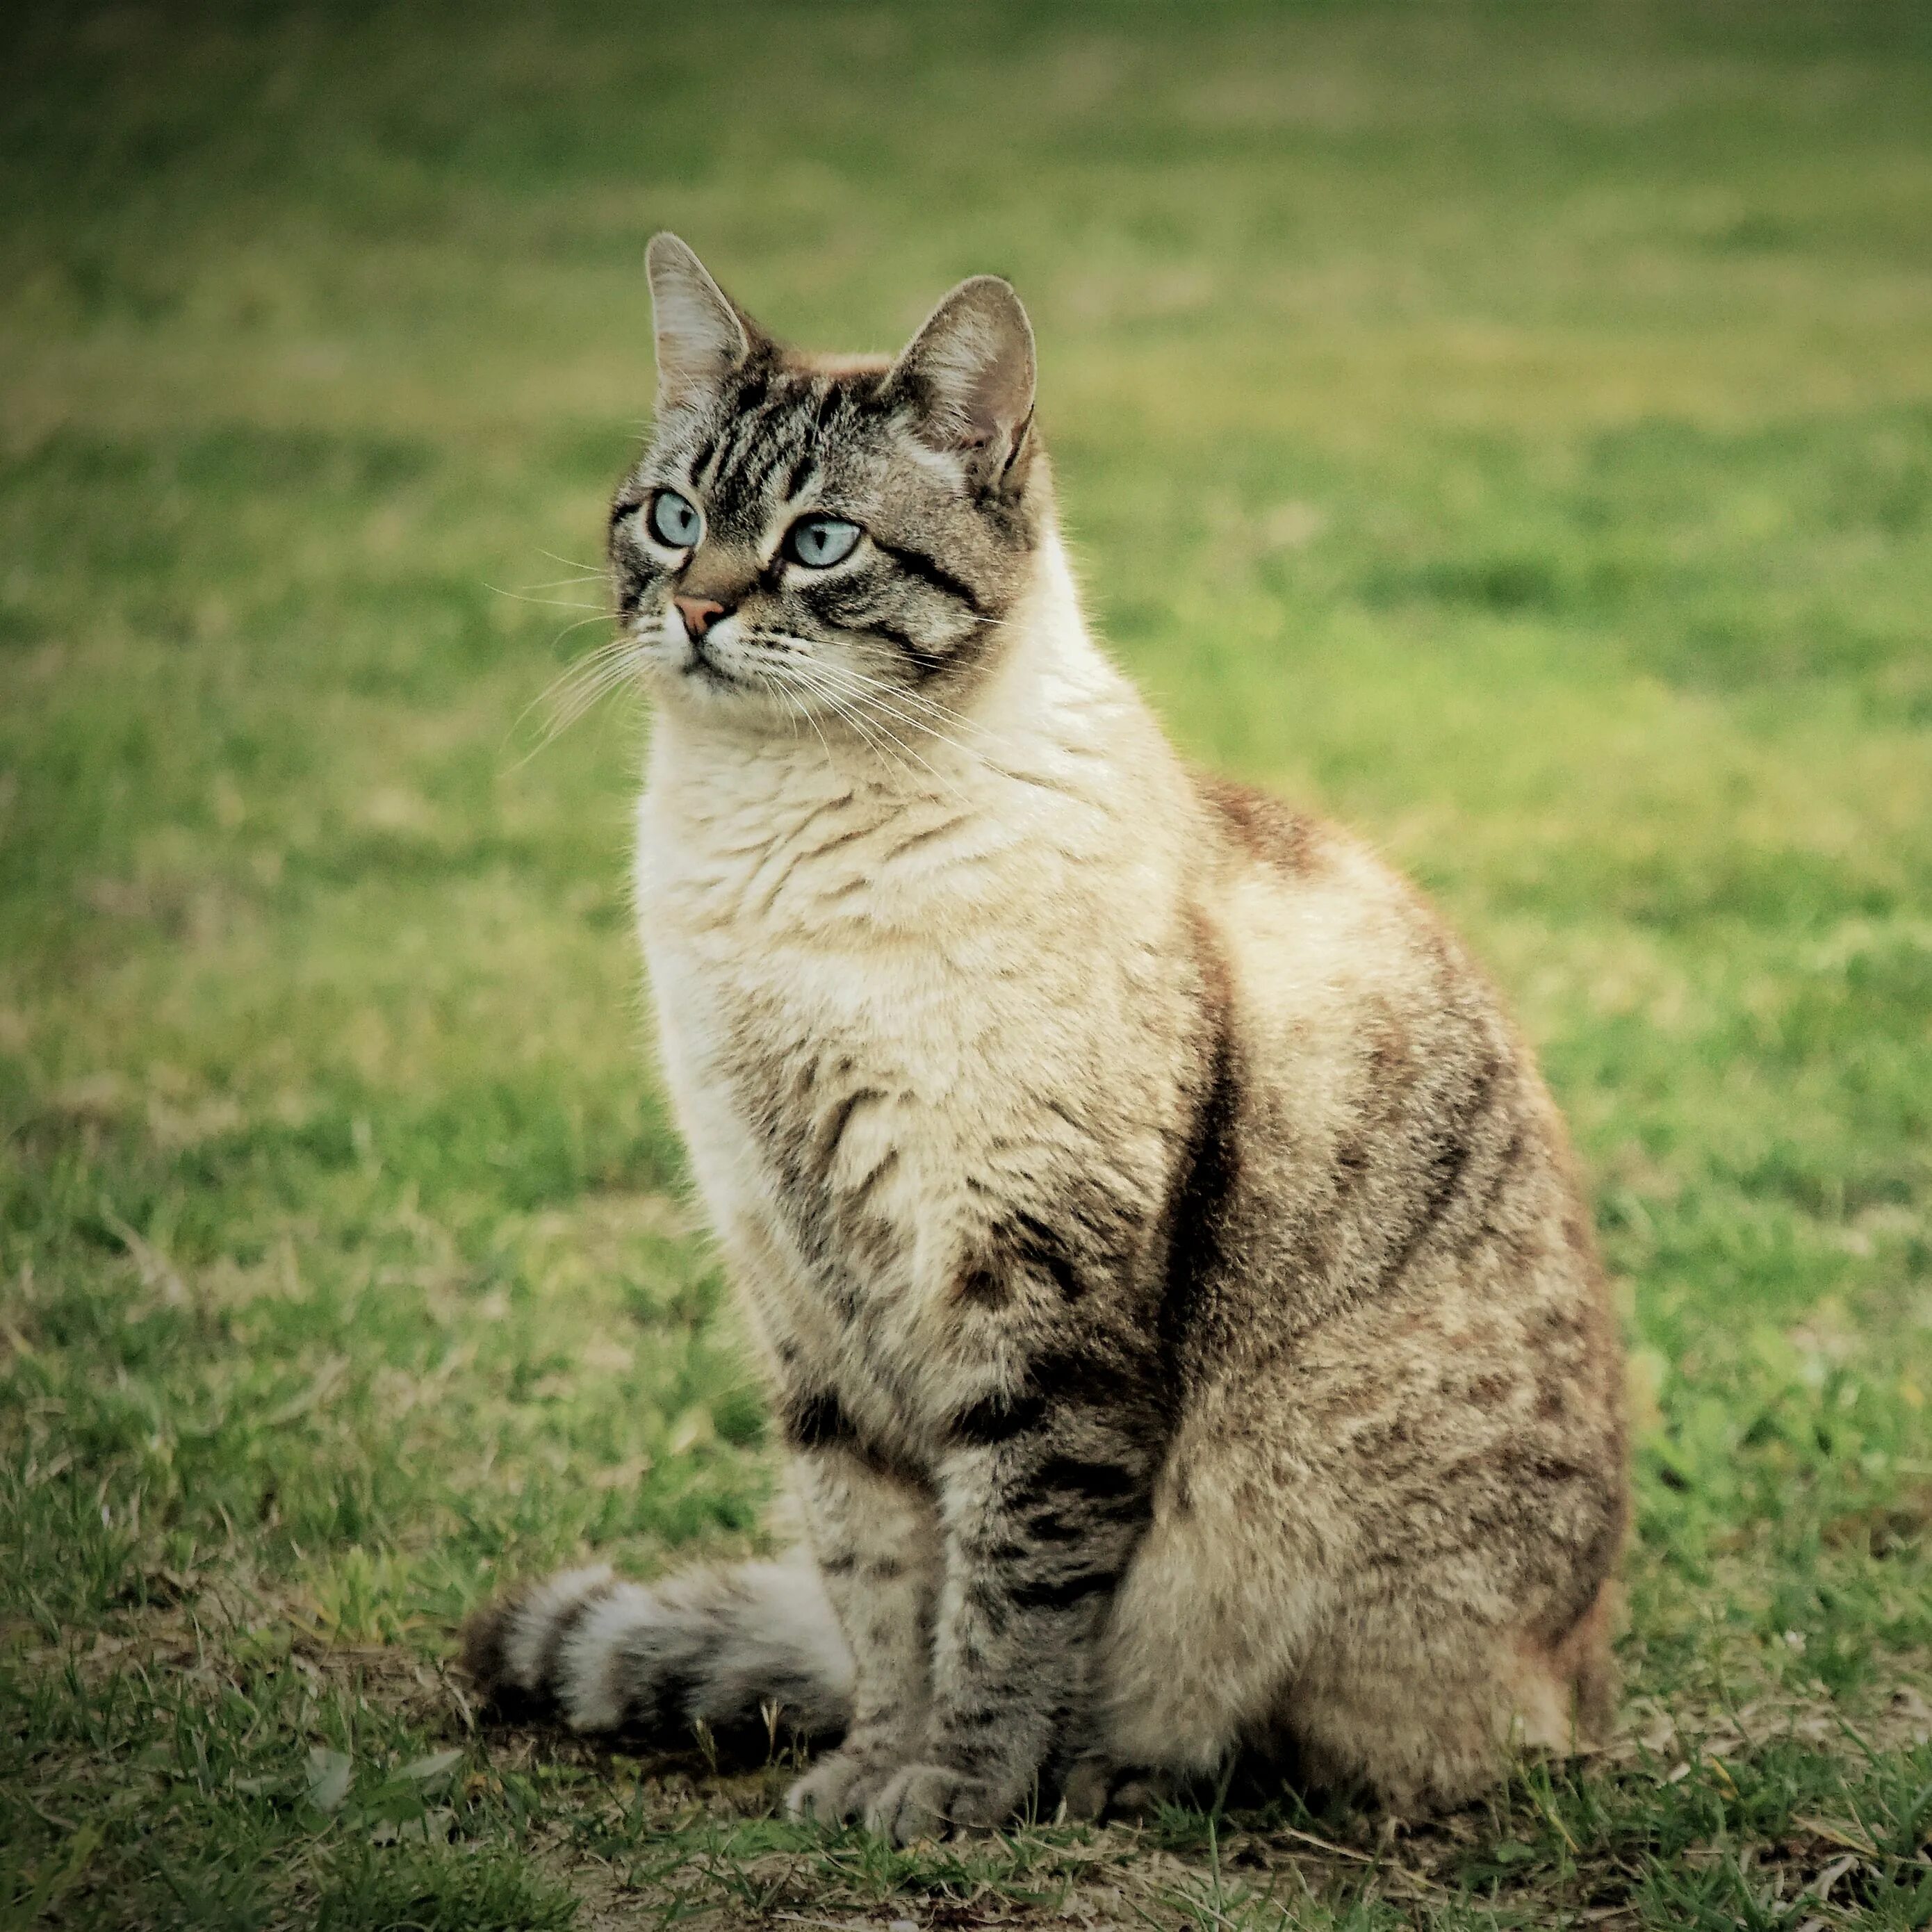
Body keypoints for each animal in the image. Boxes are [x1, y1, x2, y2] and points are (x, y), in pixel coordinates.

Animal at [467, 234, 1630, 1831]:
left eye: (819, 543)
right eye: (674, 516)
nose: (696, 611)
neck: (775, 864)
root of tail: (1581, 1682)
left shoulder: (1036, 1297)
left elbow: (1009, 1594)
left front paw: (955, 1795)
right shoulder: (800, 1293)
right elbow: (879, 1580)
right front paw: (870, 1771)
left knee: (1326, 1742)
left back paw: (1113, 1774)